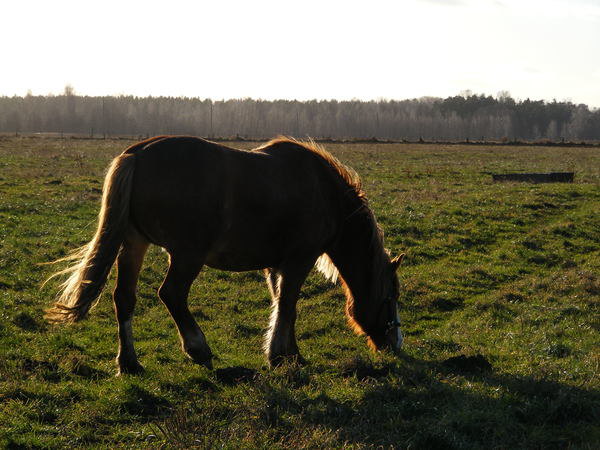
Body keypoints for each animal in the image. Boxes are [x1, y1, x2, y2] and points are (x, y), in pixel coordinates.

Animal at [45, 135, 404, 374]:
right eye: (391, 297)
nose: (395, 344)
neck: (326, 193)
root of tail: (137, 155)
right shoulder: (298, 260)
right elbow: (289, 305)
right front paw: (283, 356)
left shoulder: (275, 265)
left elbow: (281, 305)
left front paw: (285, 352)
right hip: (186, 256)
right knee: (171, 294)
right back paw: (198, 349)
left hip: (134, 245)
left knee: (124, 298)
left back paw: (130, 362)